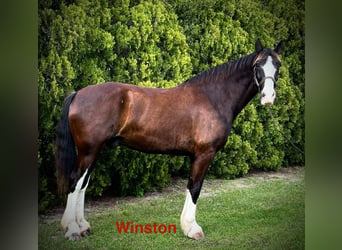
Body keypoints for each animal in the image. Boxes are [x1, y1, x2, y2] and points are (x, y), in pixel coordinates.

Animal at [54, 39, 282, 240]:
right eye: (257, 66)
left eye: (278, 66)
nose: (268, 97)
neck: (213, 97)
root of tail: (78, 93)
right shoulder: (204, 154)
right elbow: (195, 187)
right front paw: (192, 229)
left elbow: (192, 186)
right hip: (88, 150)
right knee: (75, 181)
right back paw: (72, 229)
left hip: (94, 150)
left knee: (83, 184)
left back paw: (83, 226)